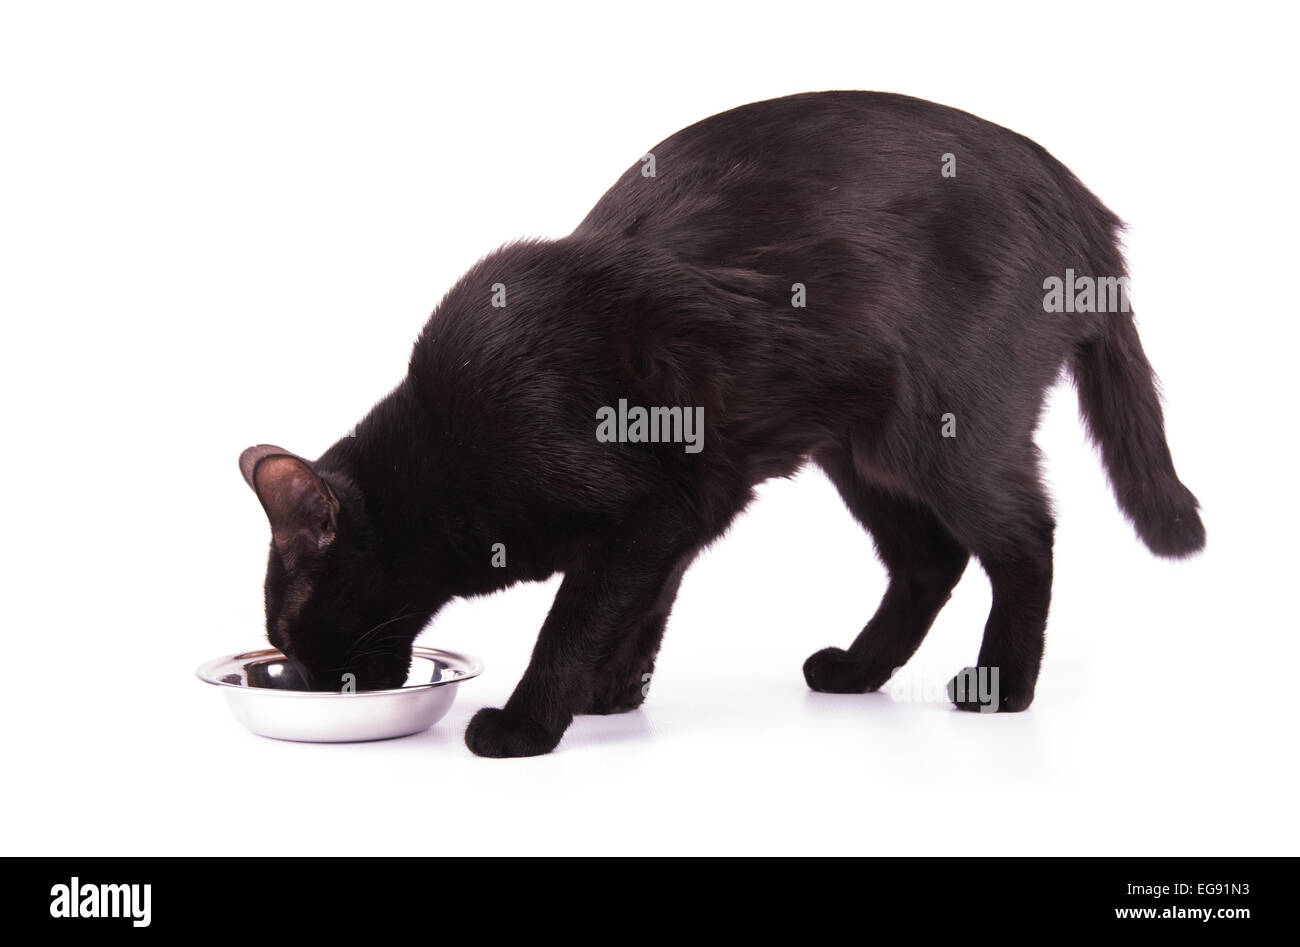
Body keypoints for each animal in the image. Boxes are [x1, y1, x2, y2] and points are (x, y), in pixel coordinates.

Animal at [239, 88, 1201, 754]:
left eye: (284, 631)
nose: (301, 678)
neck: (446, 449)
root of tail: (1073, 197)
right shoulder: (690, 502)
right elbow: (643, 602)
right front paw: (612, 691)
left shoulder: (651, 503)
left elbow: (575, 616)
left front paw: (528, 721)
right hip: (858, 450)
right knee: (931, 557)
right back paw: (857, 669)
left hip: (939, 432)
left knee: (1024, 538)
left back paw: (1002, 683)